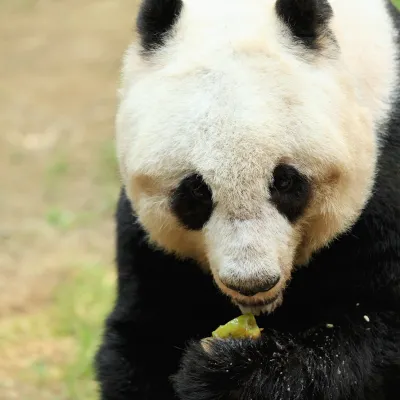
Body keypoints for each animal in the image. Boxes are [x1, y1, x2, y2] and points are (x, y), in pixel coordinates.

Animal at [94, 0, 400, 398]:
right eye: (196, 190)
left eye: (285, 182)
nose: (252, 283)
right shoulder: (148, 243)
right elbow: (142, 334)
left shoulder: (385, 170)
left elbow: (372, 334)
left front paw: (227, 372)